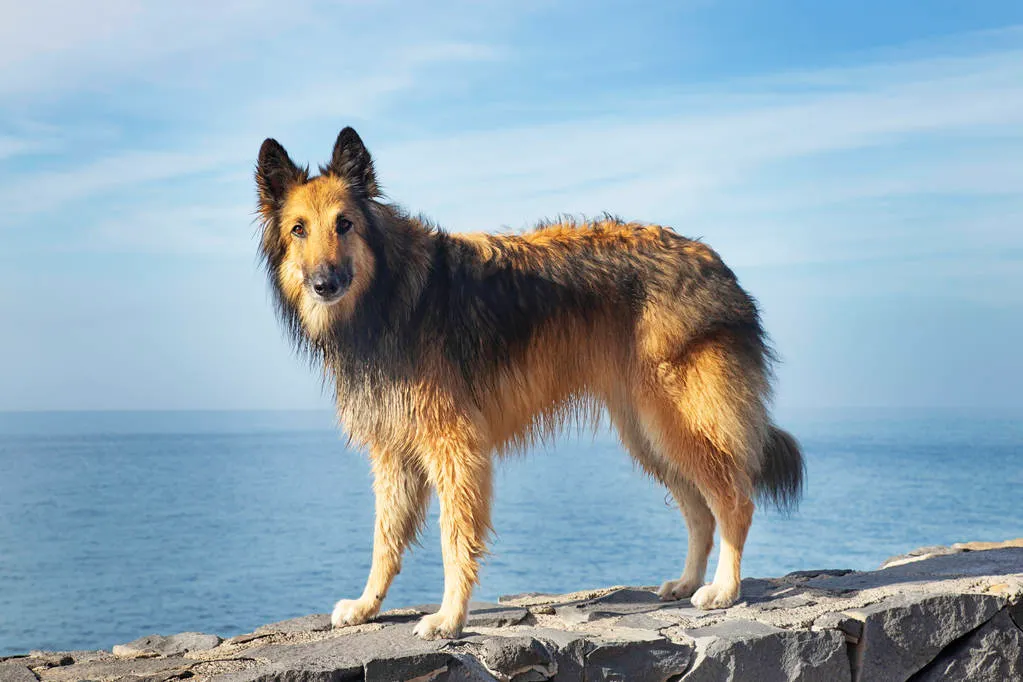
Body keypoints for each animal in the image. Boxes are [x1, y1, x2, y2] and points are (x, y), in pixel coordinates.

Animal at [251, 126, 802, 642]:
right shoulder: (394, 454)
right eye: (298, 230)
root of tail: (716, 263)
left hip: (680, 422)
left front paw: (449, 618)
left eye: (343, 223)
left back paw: (723, 589)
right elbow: (384, 539)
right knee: (699, 512)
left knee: (734, 501)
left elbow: (454, 539)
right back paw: (687, 582)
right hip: (649, 433)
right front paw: (367, 606)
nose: (324, 284)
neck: (387, 293)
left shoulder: (455, 448)